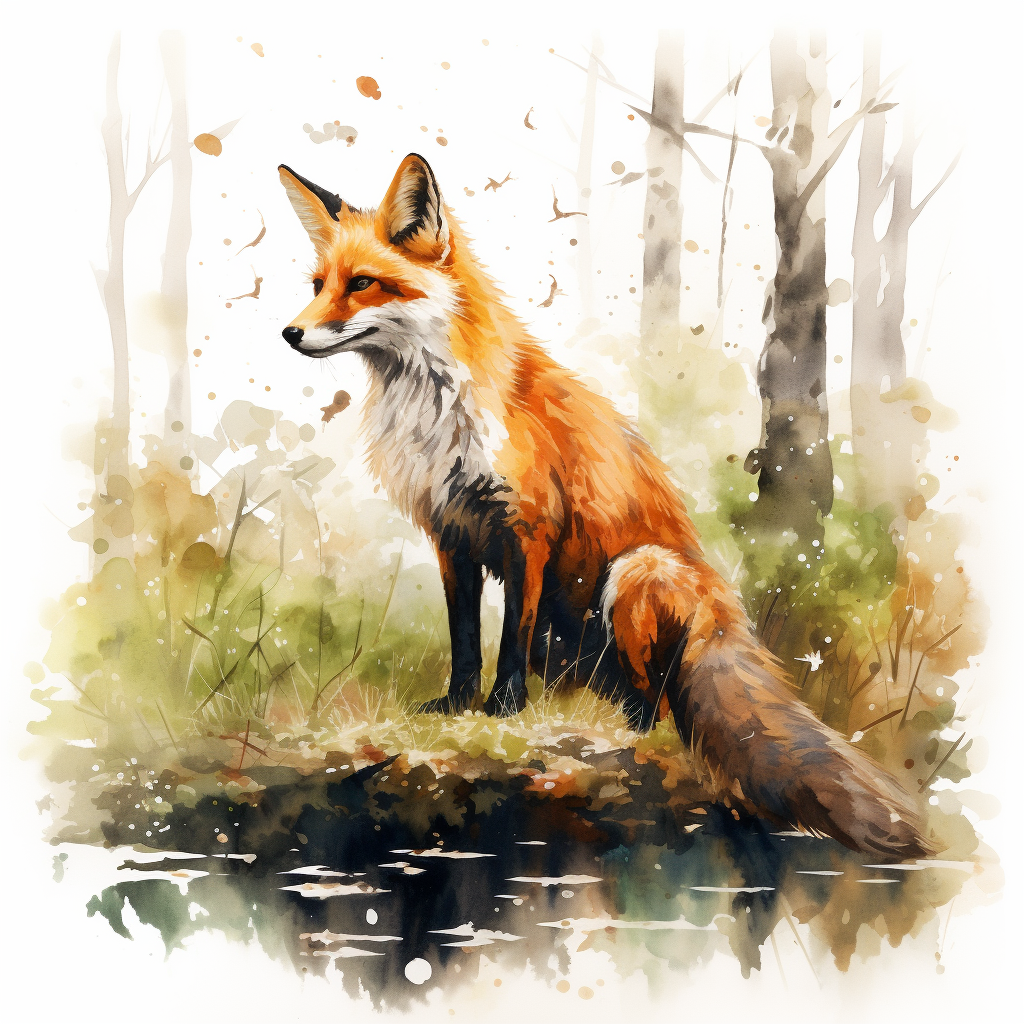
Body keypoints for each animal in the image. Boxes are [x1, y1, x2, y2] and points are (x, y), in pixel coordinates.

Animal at [276, 153, 934, 862]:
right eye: (318, 283)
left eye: (363, 283)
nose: (290, 332)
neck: (435, 413)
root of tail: (725, 616)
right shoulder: (451, 533)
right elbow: (464, 640)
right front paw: (456, 707)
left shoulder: (527, 529)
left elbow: (508, 638)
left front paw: (502, 710)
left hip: (635, 572)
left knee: (656, 707)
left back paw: (622, 729)